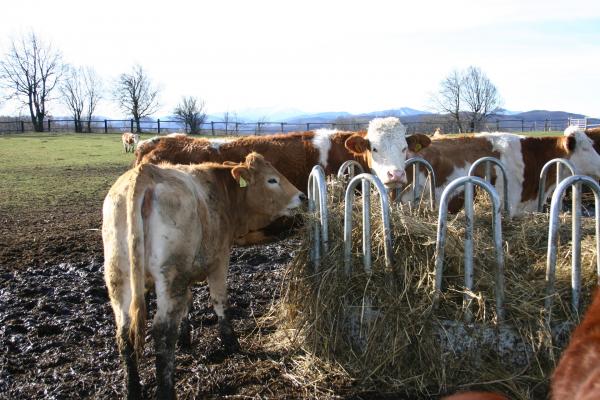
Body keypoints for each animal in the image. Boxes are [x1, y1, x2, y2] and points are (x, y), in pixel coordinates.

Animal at [102, 152, 304, 398]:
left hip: (118, 277)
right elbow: (220, 302)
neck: (222, 192)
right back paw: (167, 391)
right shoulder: (219, 260)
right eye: (272, 180)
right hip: (170, 277)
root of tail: (145, 173)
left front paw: (185, 337)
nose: (302, 196)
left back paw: (132, 390)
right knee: (162, 332)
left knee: (124, 333)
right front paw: (231, 343)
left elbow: (187, 304)